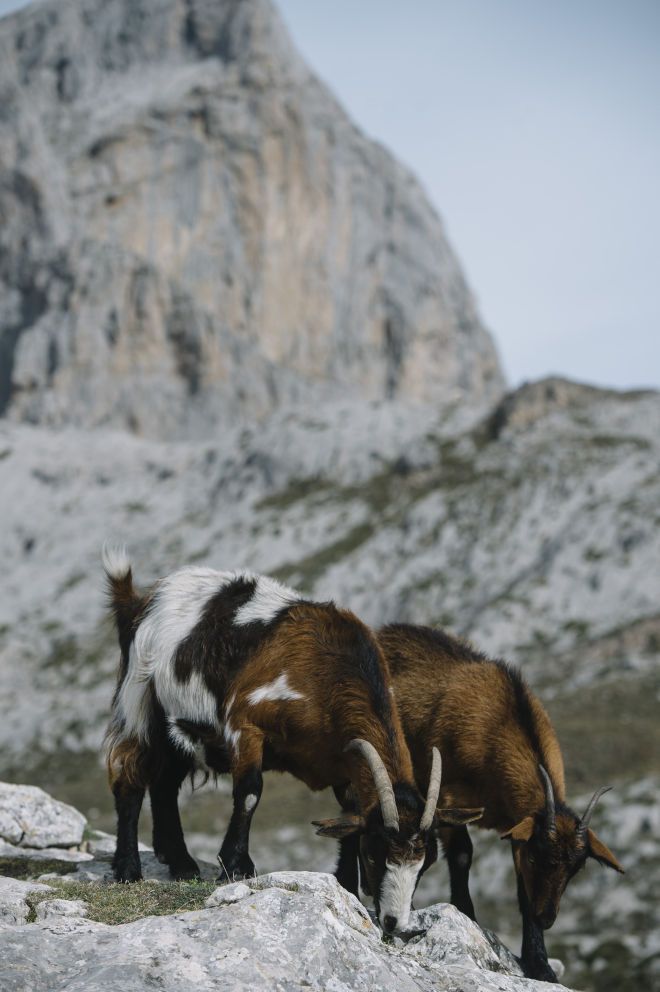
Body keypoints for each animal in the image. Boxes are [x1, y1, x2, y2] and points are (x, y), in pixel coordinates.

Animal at [100, 548, 480, 932]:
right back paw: (128, 869)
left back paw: (181, 864)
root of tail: (141, 599)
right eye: (375, 854)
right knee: (129, 776)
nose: (393, 922)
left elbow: (348, 821)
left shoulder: (344, 766)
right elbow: (250, 793)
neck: (325, 675)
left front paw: (346, 885)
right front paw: (235, 865)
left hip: (176, 728)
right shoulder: (245, 724)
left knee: (165, 783)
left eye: (425, 863)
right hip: (140, 698)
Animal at [340, 624, 624, 980]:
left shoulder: (517, 827)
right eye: (537, 858)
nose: (547, 918)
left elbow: (522, 889)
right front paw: (467, 916)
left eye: (576, 868)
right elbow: (463, 855)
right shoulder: (449, 798)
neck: (500, 724)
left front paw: (539, 963)